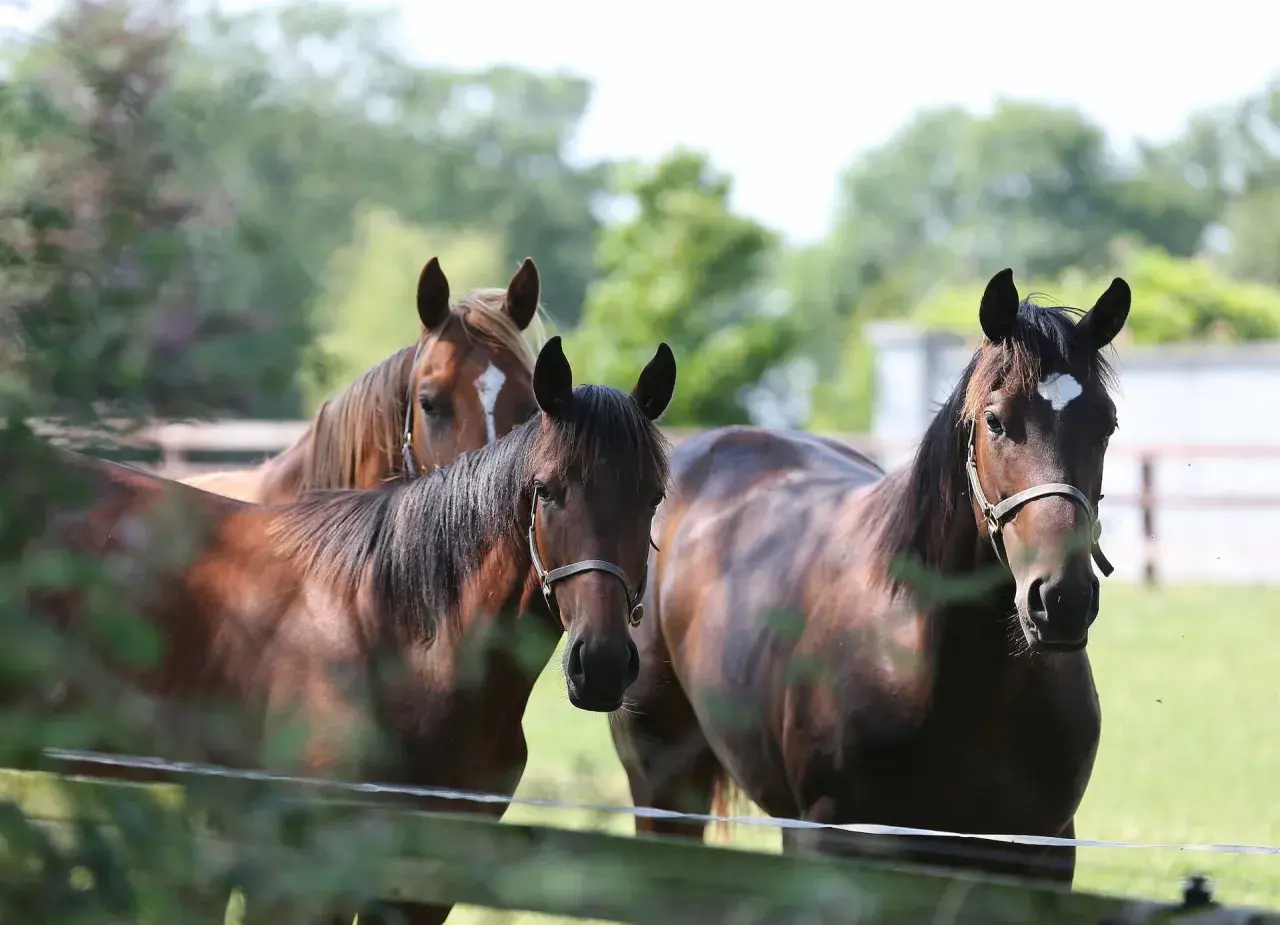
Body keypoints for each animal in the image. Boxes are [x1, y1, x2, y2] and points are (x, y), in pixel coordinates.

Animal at [20, 335, 677, 924]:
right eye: (546, 489)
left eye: (653, 497)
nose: (602, 664)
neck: (396, 639)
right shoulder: (299, 883)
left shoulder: (422, 889)